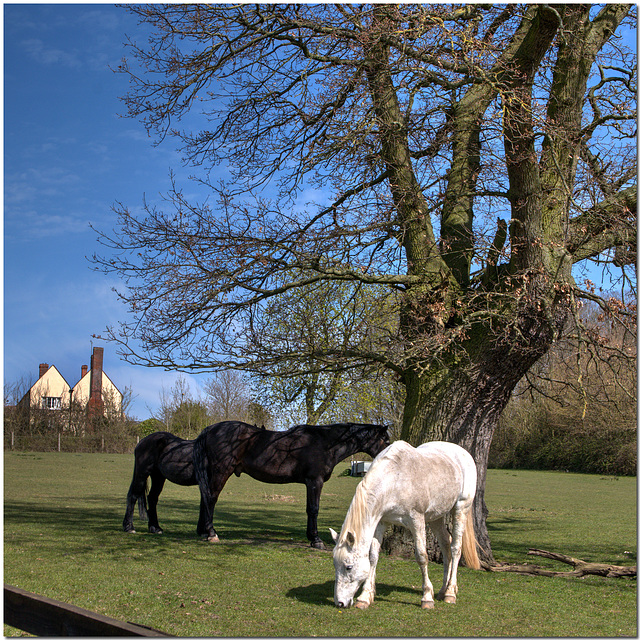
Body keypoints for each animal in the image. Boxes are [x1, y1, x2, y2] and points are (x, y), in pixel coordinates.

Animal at [192, 420, 388, 552]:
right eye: (385, 440)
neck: (325, 443)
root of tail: (209, 430)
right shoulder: (314, 481)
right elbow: (313, 509)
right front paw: (316, 540)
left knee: (205, 497)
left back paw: (203, 532)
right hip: (221, 471)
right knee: (211, 498)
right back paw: (211, 533)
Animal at [330, 440, 480, 608]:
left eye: (348, 567)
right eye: (335, 565)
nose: (340, 603)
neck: (395, 479)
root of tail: (463, 453)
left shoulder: (416, 520)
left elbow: (422, 556)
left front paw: (427, 597)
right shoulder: (381, 521)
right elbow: (373, 557)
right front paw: (365, 597)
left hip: (461, 508)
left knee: (455, 548)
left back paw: (450, 592)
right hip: (436, 517)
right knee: (445, 545)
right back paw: (442, 591)